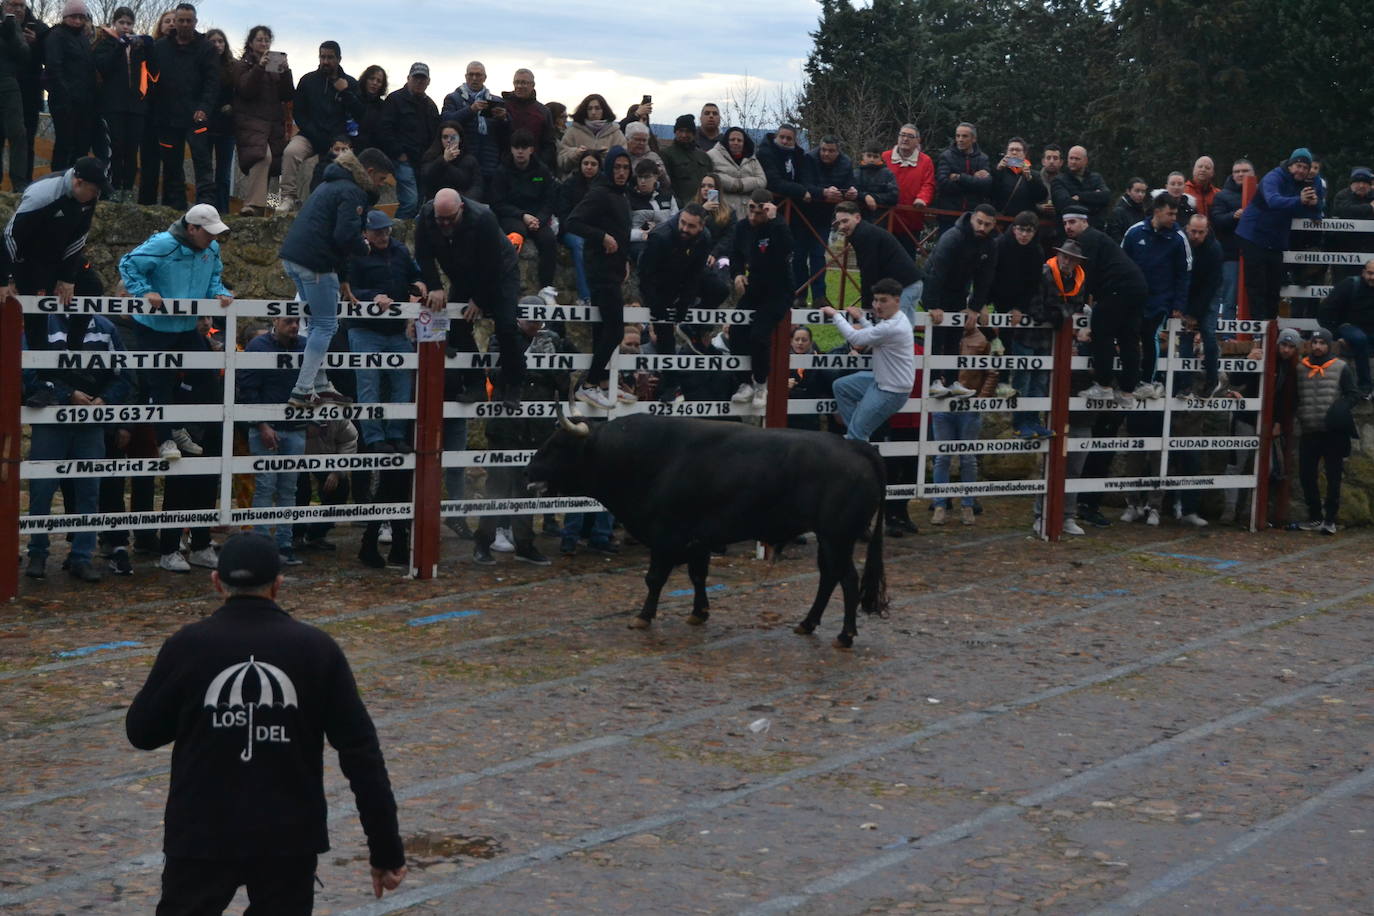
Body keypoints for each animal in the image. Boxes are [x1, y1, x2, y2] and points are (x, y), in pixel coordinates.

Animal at [524, 411, 890, 648]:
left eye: (557, 445)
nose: (528, 470)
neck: (646, 456)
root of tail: (856, 447)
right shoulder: (698, 539)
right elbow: (698, 575)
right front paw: (699, 612)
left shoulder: (666, 536)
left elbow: (654, 578)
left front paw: (643, 616)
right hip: (830, 539)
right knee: (829, 577)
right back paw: (807, 623)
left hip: (837, 537)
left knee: (847, 579)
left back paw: (845, 635)